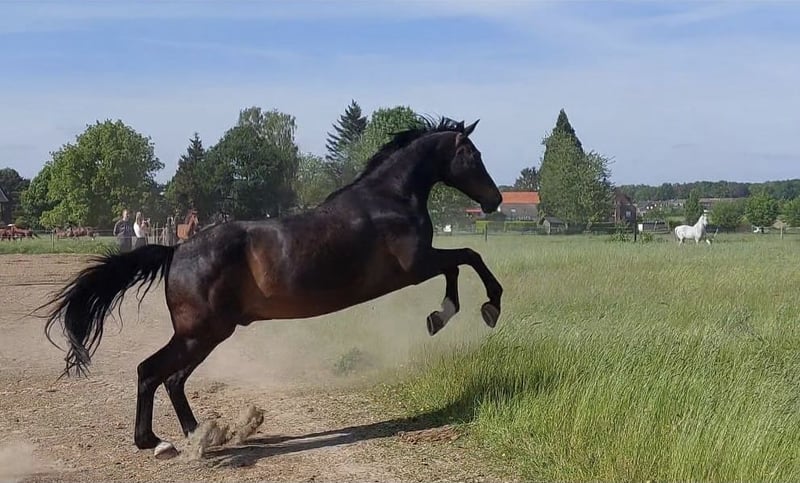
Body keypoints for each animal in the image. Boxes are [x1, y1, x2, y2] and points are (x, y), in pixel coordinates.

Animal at [38, 116, 504, 459]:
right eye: (472, 154)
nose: (495, 200)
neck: (388, 199)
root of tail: (177, 251)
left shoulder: (421, 265)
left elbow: (461, 263)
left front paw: (442, 316)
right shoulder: (415, 265)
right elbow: (468, 258)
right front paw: (479, 309)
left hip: (206, 335)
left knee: (171, 380)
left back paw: (199, 436)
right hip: (199, 333)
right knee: (151, 372)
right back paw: (159, 442)